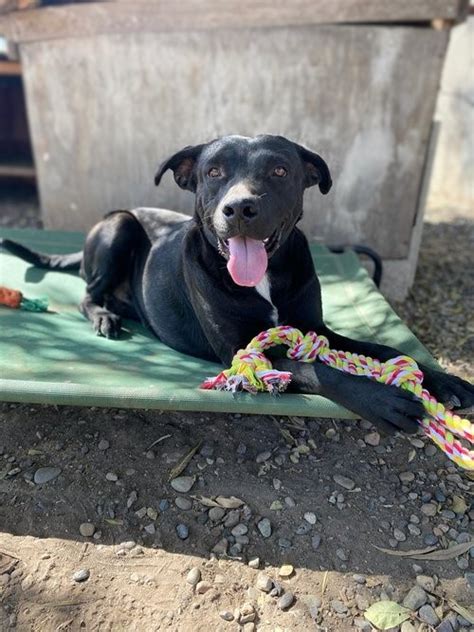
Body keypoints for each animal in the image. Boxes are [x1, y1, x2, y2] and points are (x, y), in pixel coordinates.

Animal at [2, 136, 470, 434]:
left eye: (280, 170)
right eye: (213, 171)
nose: (240, 208)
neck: (262, 278)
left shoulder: (316, 329)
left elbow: (382, 348)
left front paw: (443, 380)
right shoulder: (241, 351)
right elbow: (314, 368)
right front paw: (381, 398)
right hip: (119, 225)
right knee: (87, 294)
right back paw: (103, 315)